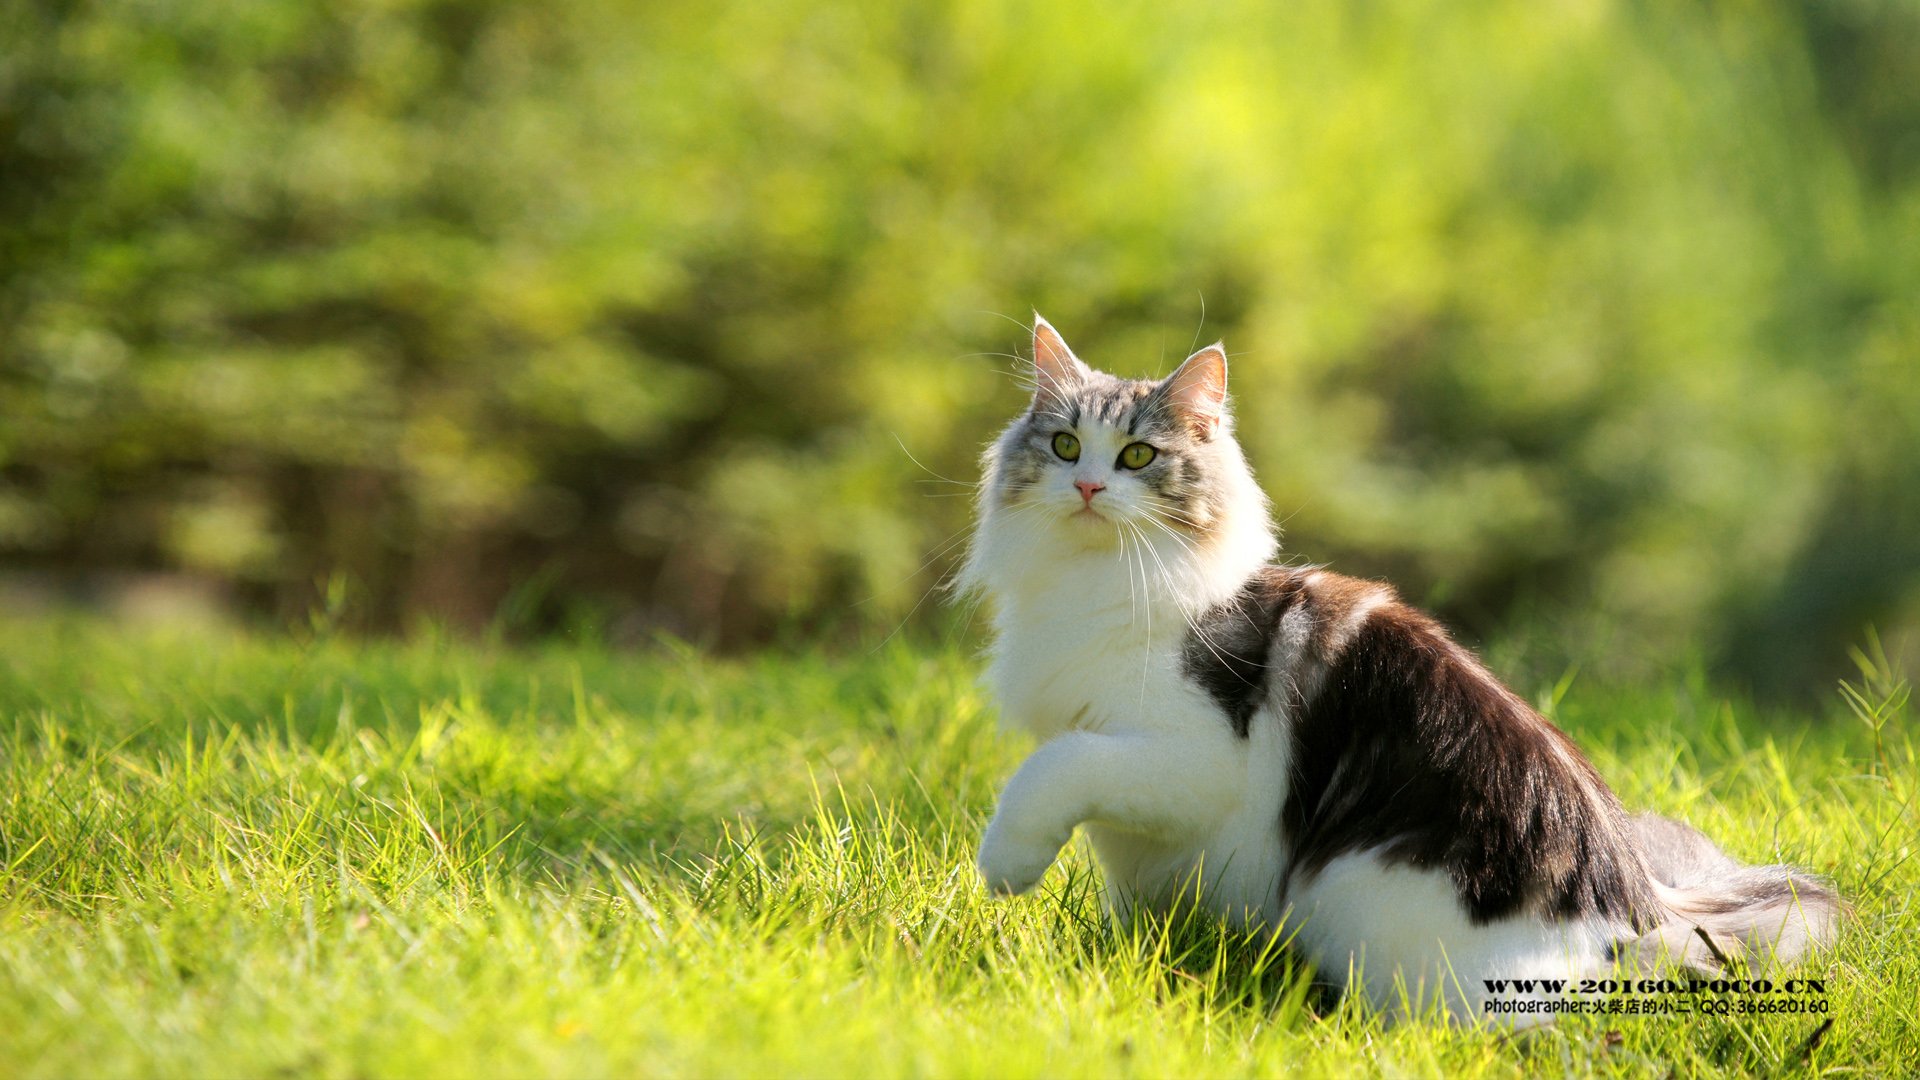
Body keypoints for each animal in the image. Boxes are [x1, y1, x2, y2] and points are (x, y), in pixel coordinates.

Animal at [960, 315, 1843, 1022]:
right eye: (1065, 445)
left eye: (1139, 455)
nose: (1086, 485)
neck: (1095, 582)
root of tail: (1642, 913)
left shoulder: (1187, 757)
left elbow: (1056, 768)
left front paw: (1004, 866)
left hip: (1359, 898)